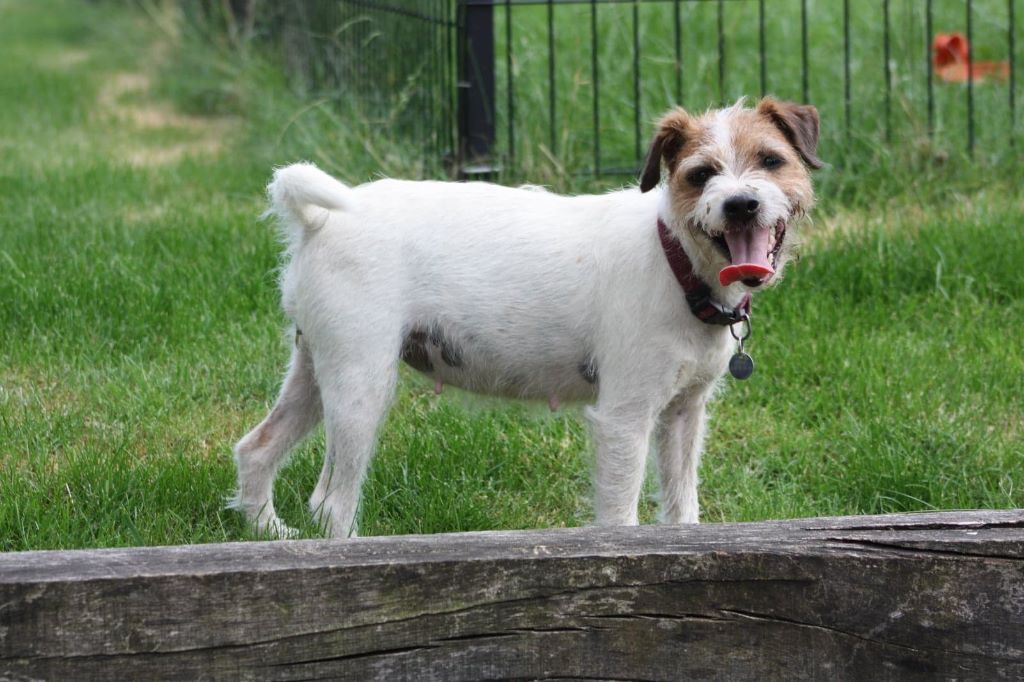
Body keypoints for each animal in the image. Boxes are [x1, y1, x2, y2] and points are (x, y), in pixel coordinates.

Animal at [234, 98, 823, 540]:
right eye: (701, 175)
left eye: (771, 161)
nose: (741, 204)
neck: (675, 257)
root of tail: (319, 220)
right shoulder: (625, 419)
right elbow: (620, 515)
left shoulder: (683, 414)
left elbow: (681, 507)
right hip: (361, 386)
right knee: (331, 502)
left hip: (317, 369)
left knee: (256, 449)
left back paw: (269, 534)